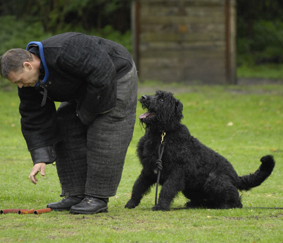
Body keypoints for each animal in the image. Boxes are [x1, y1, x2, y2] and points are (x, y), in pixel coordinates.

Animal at [125, 90, 276, 210]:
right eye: (155, 95)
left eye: (161, 99)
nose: (143, 97)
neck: (162, 134)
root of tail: (236, 178)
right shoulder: (149, 169)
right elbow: (138, 186)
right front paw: (131, 203)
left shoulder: (177, 172)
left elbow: (167, 189)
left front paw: (161, 206)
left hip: (214, 180)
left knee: (237, 202)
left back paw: (224, 206)